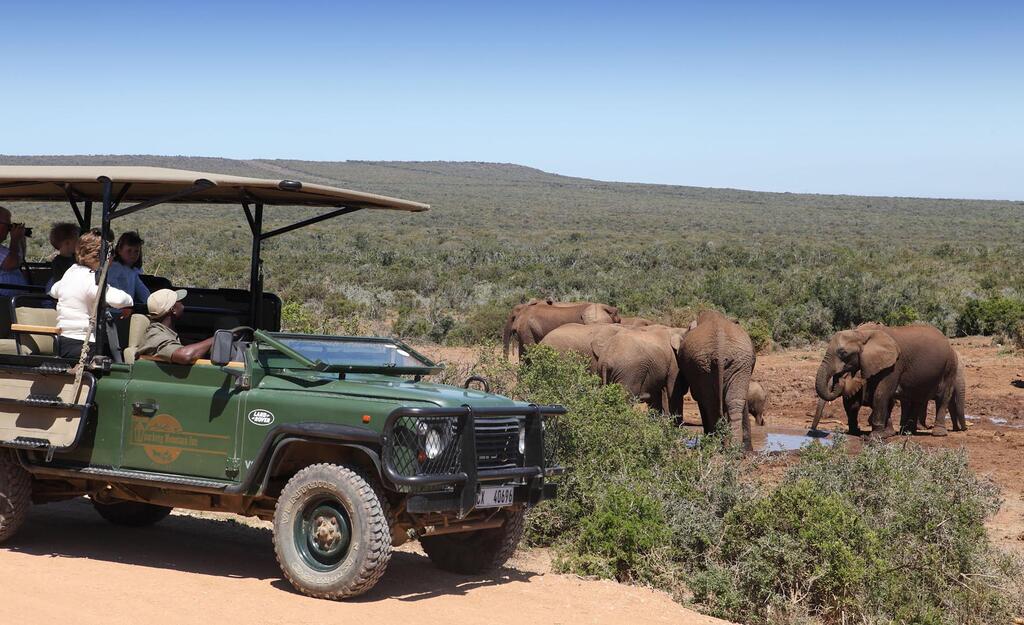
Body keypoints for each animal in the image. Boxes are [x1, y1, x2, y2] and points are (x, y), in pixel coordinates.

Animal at [679, 307, 753, 446]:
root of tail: (720, 348)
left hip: (713, 365)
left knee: (712, 403)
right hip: (719, 365)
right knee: (731, 401)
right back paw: (732, 446)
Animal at [815, 323, 958, 436]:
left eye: (843, 353)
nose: (839, 377)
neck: (863, 334)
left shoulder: (895, 364)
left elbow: (881, 393)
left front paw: (876, 436)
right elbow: (880, 396)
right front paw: (887, 434)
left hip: (950, 366)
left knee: (943, 397)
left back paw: (938, 433)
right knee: (917, 398)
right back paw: (907, 432)